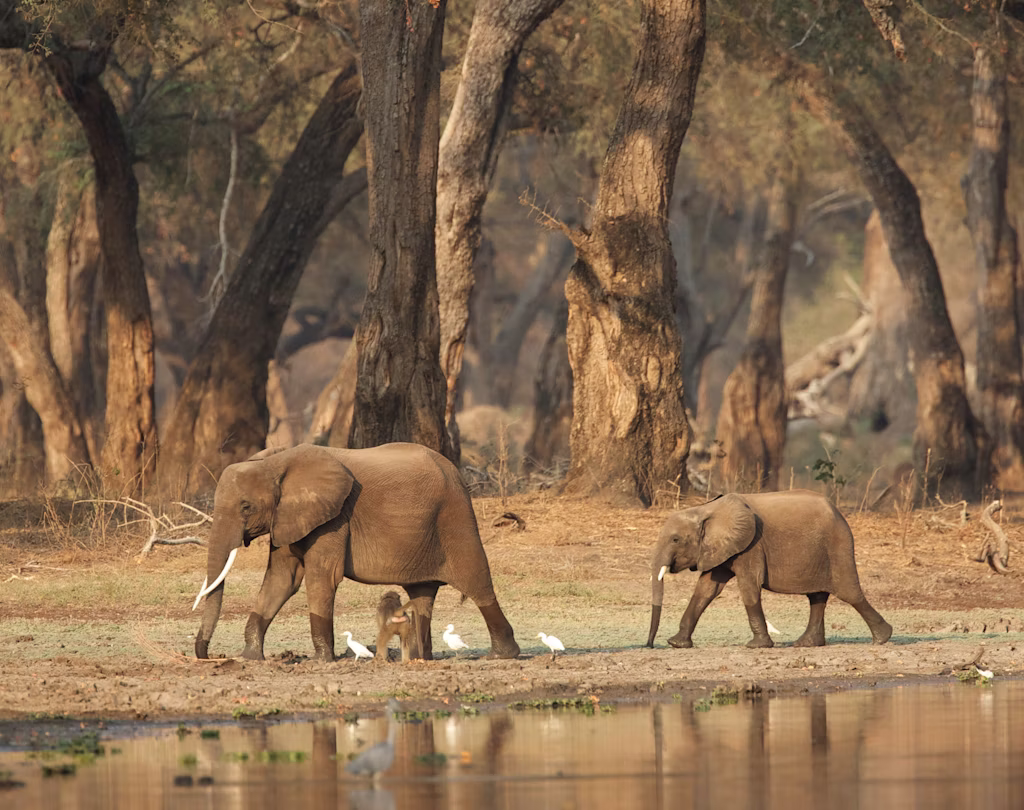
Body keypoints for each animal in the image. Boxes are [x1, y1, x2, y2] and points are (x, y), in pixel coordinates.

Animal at [192, 442, 520, 662]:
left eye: (246, 507)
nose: (207, 655)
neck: (275, 462)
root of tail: (457, 473)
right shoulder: (287, 518)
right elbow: (282, 579)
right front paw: (250, 658)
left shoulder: (334, 519)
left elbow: (321, 578)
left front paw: (321, 661)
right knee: (422, 594)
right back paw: (419, 658)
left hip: (456, 518)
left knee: (477, 582)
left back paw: (502, 655)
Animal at [646, 490, 892, 649]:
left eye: (675, 539)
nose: (650, 645)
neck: (706, 509)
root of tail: (839, 513)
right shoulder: (723, 548)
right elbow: (706, 590)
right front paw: (677, 644)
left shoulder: (750, 546)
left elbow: (749, 587)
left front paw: (757, 646)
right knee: (817, 597)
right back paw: (805, 644)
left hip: (838, 546)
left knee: (849, 593)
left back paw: (882, 638)